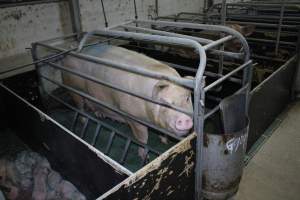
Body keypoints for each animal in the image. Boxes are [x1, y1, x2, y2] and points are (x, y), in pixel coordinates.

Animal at [63, 45, 193, 158]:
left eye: (187, 98)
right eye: (164, 103)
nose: (184, 118)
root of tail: (69, 53)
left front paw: (165, 141)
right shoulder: (133, 116)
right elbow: (142, 138)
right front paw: (145, 157)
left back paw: (100, 115)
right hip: (73, 89)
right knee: (80, 107)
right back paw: (84, 121)